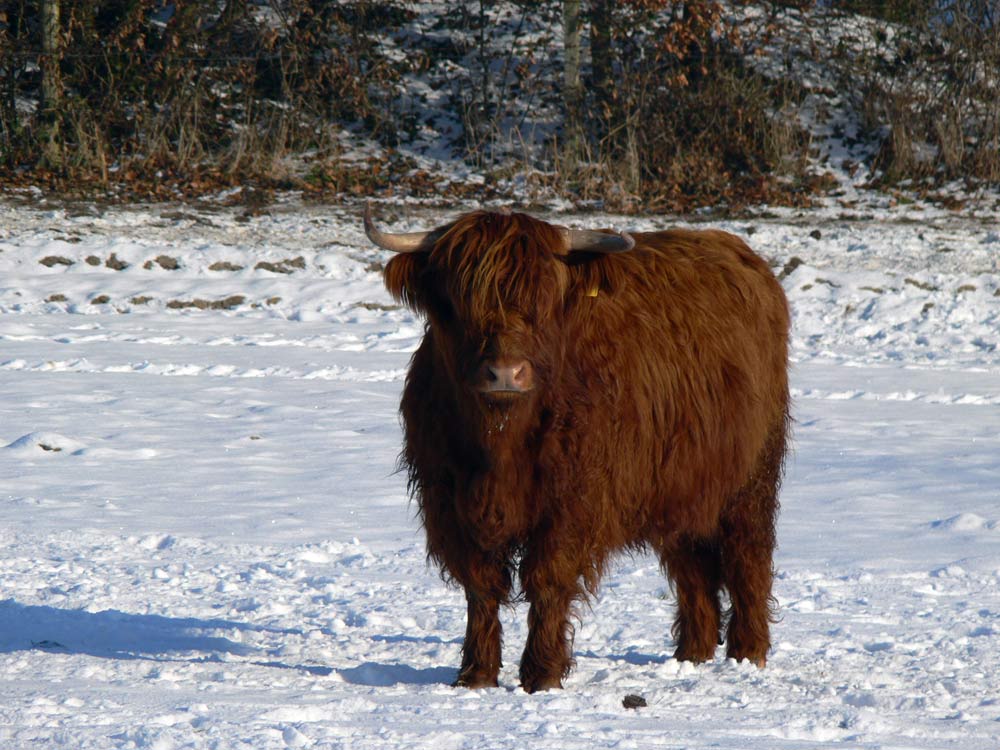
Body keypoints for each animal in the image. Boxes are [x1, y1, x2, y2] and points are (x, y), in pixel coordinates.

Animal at [364, 204, 792, 692]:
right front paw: (476, 674)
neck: (498, 443)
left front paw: (541, 674)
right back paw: (693, 653)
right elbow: (480, 585)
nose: (506, 372)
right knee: (692, 566)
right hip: (682, 485)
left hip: (751, 478)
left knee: (748, 556)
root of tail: (742, 255)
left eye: (543, 299)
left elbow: (548, 579)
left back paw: (747, 652)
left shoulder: (571, 502)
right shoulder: (451, 502)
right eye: (459, 301)